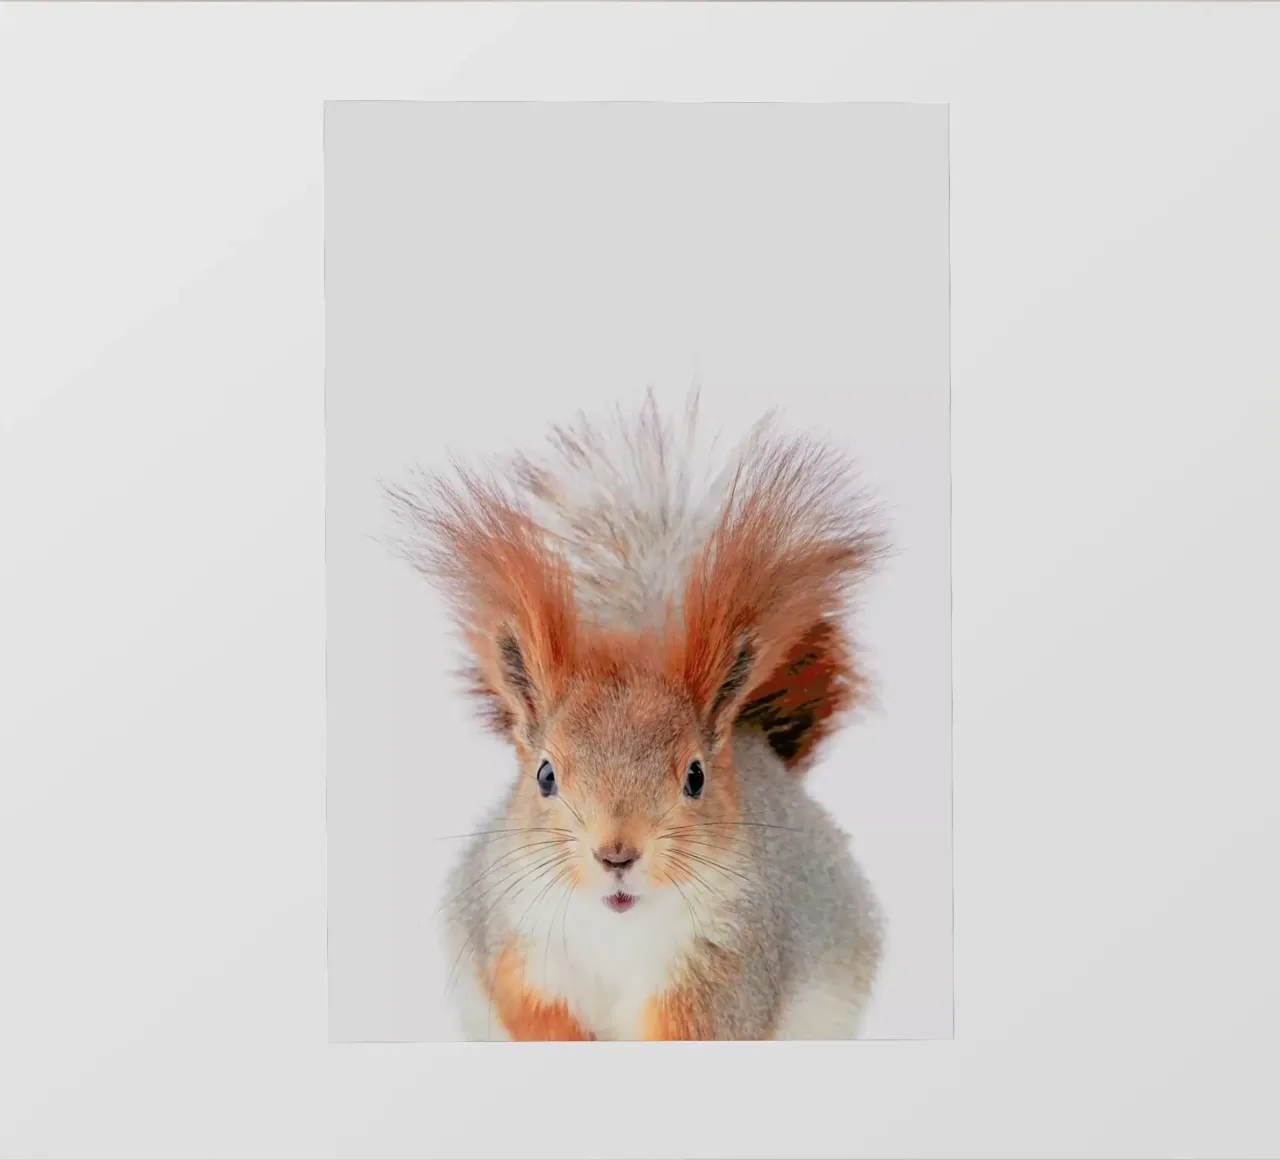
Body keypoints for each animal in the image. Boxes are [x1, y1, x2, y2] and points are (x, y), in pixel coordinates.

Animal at [386, 390, 887, 1040]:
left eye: (696, 777)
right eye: (544, 775)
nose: (616, 854)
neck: (616, 930)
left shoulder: (728, 967)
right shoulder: (513, 941)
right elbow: (531, 1011)